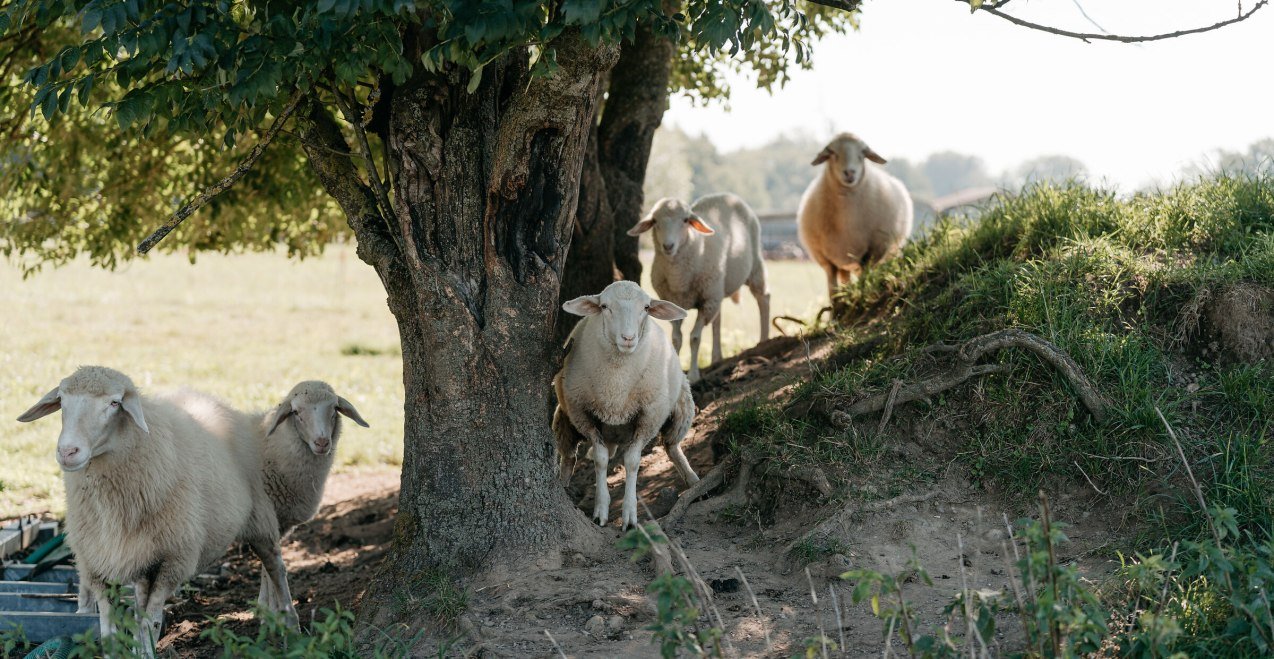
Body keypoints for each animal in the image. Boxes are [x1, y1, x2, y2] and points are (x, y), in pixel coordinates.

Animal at [15, 367, 292, 654]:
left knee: (276, 568)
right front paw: (123, 651)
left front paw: (146, 651)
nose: (68, 451)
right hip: (142, 554)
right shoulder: (96, 562)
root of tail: (210, 398)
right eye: (61, 401)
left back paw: (290, 627)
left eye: (114, 403)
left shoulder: (172, 560)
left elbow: (151, 619)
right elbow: (110, 628)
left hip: (260, 518)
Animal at [553, 281, 701, 530]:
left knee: (672, 447)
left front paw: (630, 514)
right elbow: (601, 459)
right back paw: (562, 486)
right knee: (569, 457)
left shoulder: (649, 416)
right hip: (565, 418)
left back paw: (693, 481)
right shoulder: (583, 413)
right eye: (604, 306)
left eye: (646, 307)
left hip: (681, 409)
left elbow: (632, 462)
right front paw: (600, 511)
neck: (616, 389)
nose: (628, 338)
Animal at [627, 193, 770, 383]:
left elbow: (694, 338)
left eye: (685, 220)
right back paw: (716, 358)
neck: (679, 277)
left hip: (752, 266)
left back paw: (764, 340)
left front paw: (694, 375)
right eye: (655, 221)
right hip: (716, 290)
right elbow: (676, 339)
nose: (668, 246)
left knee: (763, 297)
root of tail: (724, 194)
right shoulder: (673, 303)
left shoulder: (706, 302)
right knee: (718, 318)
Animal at [797, 132, 913, 306]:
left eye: (862, 154)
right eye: (833, 153)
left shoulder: (872, 251)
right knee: (845, 280)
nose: (850, 172)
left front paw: (863, 298)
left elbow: (865, 280)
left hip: (887, 253)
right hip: (843, 260)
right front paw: (836, 310)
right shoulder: (825, 259)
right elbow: (833, 290)